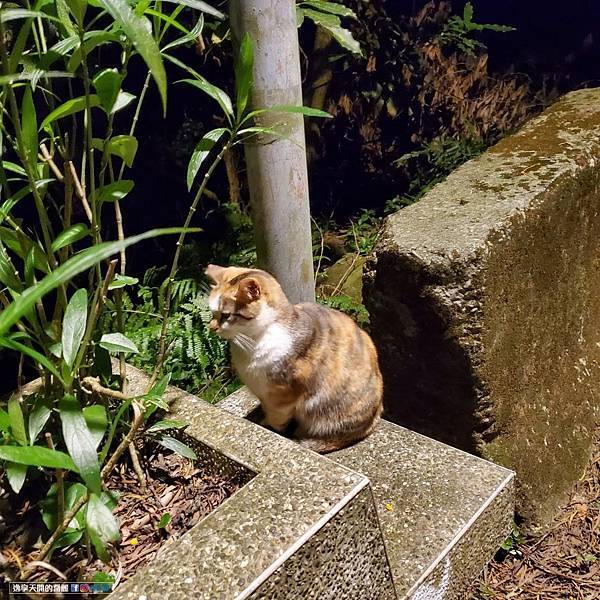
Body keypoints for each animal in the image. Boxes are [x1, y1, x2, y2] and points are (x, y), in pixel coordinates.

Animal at [206, 264, 384, 452]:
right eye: (213, 313)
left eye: (226, 315)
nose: (212, 327)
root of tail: (374, 417)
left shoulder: (282, 395)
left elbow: (277, 419)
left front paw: (271, 428)